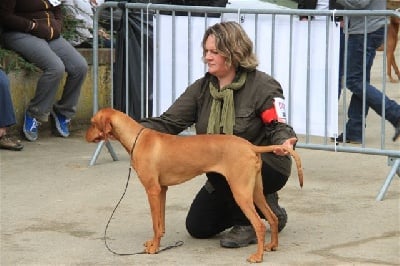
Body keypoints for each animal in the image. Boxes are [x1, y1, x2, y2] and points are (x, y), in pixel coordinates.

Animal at [85, 107, 304, 262]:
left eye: (92, 123)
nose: (85, 136)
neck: (137, 138)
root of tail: (250, 146)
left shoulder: (152, 190)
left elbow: (155, 224)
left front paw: (154, 248)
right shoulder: (162, 190)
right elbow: (160, 223)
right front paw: (155, 243)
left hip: (240, 192)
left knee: (258, 224)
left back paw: (257, 256)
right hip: (255, 191)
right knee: (272, 217)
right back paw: (272, 245)